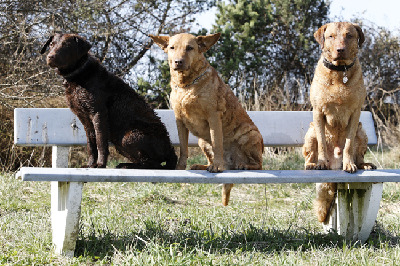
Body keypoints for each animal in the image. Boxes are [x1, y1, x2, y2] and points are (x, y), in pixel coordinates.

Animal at [149, 32, 262, 205]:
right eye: (172, 47)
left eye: (190, 48)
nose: (178, 62)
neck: (187, 85)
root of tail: (231, 164)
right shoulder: (179, 120)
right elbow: (183, 149)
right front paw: (180, 168)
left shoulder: (213, 116)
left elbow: (217, 143)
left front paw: (217, 166)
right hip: (202, 141)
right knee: (210, 159)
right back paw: (202, 166)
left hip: (249, 135)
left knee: (259, 164)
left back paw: (243, 165)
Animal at [304, 22, 376, 222]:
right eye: (331, 36)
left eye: (349, 35)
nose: (340, 50)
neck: (339, 72)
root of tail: (334, 165)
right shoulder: (318, 112)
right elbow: (321, 142)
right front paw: (321, 162)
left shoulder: (355, 113)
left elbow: (349, 145)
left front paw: (349, 163)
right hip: (310, 132)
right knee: (309, 154)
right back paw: (312, 164)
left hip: (362, 131)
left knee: (359, 154)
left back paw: (363, 164)